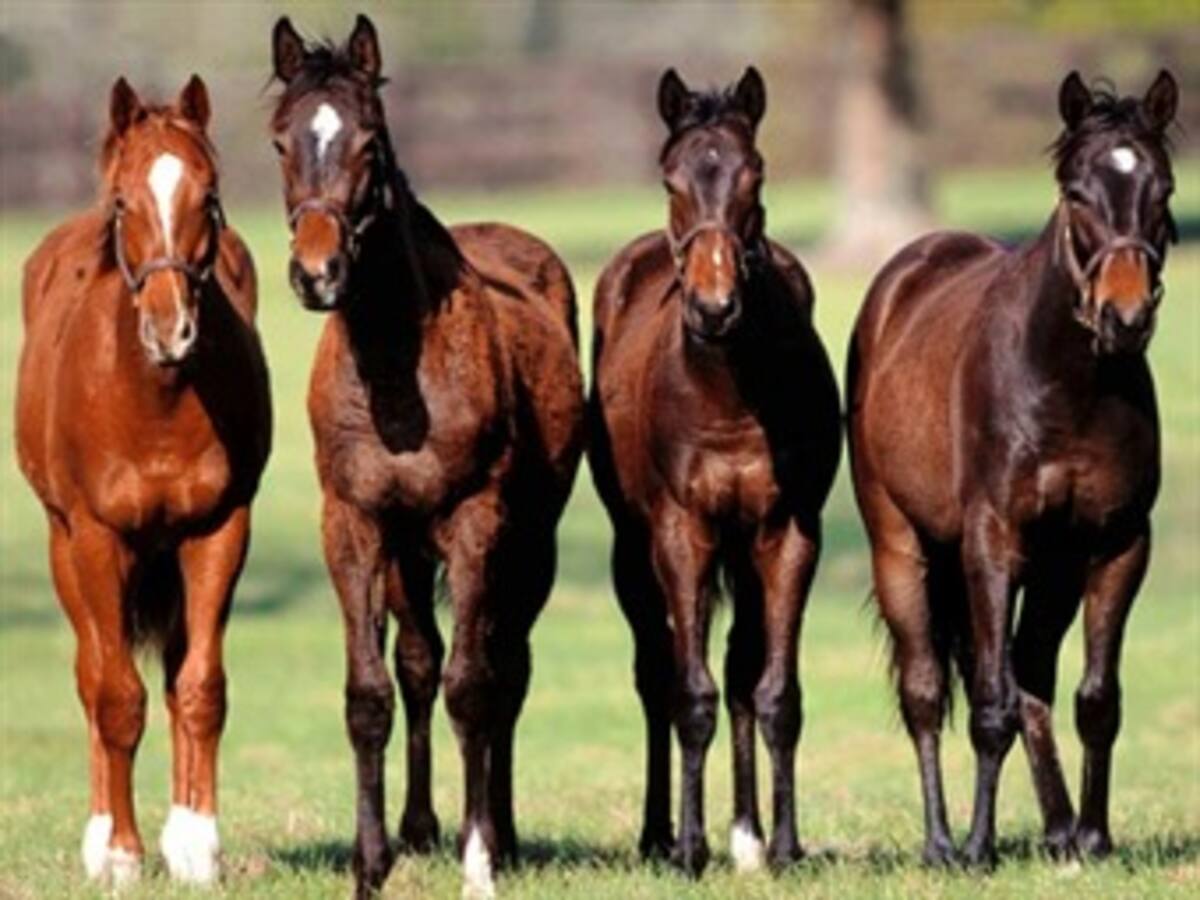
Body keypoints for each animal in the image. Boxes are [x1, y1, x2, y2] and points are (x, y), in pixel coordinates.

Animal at [14, 76, 271, 885]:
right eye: (125, 202)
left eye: (210, 196)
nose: (170, 330)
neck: (153, 399)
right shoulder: (97, 539)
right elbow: (114, 695)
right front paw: (123, 855)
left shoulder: (218, 530)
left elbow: (199, 688)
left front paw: (196, 847)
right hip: (66, 547)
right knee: (92, 672)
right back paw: (101, 838)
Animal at [268, 16, 584, 898]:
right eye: (280, 141)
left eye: (370, 142)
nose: (317, 273)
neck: (395, 375)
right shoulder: (354, 526)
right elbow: (371, 691)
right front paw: (369, 863)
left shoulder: (477, 524)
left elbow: (473, 686)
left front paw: (480, 858)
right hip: (408, 553)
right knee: (417, 662)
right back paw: (417, 829)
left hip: (530, 547)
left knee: (506, 667)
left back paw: (500, 834)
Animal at [588, 67, 841, 876]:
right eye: (670, 180)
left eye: (753, 175)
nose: (713, 306)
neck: (728, 388)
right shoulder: (682, 533)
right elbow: (687, 693)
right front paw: (689, 849)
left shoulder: (788, 533)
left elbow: (774, 692)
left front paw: (783, 845)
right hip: (631, 549)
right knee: (656, 672)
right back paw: (659, 834)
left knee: (739, 673)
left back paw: (747, 835)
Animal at [846, 70, 1179, 867]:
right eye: (1077, 193)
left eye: (1164, 190)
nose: (1125, 318)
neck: (1069, 383)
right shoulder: (992, 541)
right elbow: (986, 704)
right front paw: (977, 848)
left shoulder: (1117, 545)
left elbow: (1095, 697)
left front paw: (1094, 838)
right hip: (901, 546)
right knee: (928, 689)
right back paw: (941, 842)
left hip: (1053, 568)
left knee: (1031, 676)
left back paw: (1059, 831)